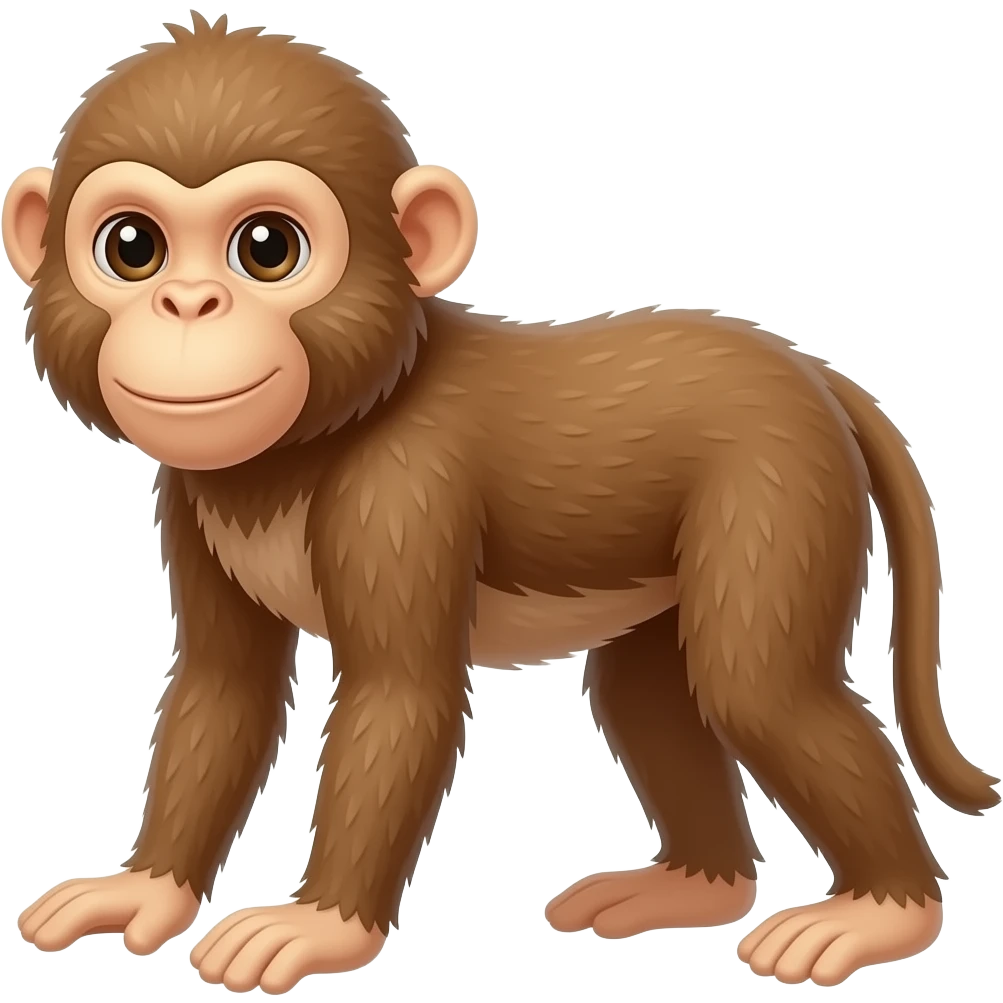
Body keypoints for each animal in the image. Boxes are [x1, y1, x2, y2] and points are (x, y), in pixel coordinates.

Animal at [5, 12, 997, 995]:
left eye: (267, 248)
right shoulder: (188, 497)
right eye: (132, 247)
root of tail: (809, 371)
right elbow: (224, 687)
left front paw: (320, 924)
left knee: (758, 687)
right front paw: (145, 888)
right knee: (645, 693)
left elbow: (401, 697)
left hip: (777, 485)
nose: (187, 302)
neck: (321, 430)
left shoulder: (402, 490)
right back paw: (694, 886)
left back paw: (882, 910)